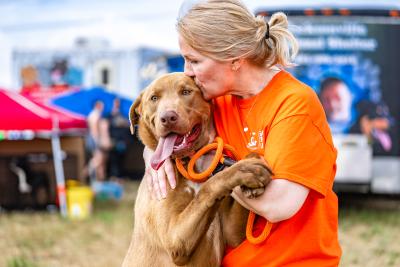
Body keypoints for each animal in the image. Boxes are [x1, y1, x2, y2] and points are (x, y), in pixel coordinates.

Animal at [122, 73, 272, 267]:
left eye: (186, 92)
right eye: (154, 98)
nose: (168, 117)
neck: (190, 162)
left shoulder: (232, 232)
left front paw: (251, 167)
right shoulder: (175, 238)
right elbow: (209, 187)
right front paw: (243, 170)